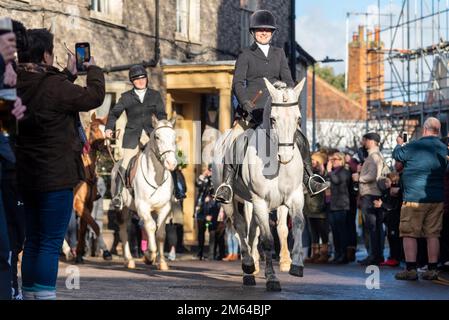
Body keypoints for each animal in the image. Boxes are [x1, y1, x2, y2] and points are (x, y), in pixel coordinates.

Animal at [73, 114, 112, 264]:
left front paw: (79, 254)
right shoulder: (78, 203)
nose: (106, 147)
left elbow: (84, 229)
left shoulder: (88, 205)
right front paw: (106, 251)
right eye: (94, 129)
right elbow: (95, 225)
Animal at [110, 115, 177, 270]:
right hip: (123, 209)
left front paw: (162, 262)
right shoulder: (143, 207)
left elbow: (160, 233)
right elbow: (151, 227)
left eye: (174, 136)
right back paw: (128, 260)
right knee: (124, 230)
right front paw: (149, 256)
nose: (171, 163)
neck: (157, 178)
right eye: (157, 137)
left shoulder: (164, 208)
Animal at [213, 79, 304, 292]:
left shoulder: (294, 198)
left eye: (298, 119)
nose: (285, 156)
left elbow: (294, 226)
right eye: (273, 119)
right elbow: (267, 240)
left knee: (251, 231)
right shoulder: (261, 201)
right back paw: (248, 265)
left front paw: (293, 264)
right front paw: (271, 278)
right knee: (240, 227)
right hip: (231, 202)